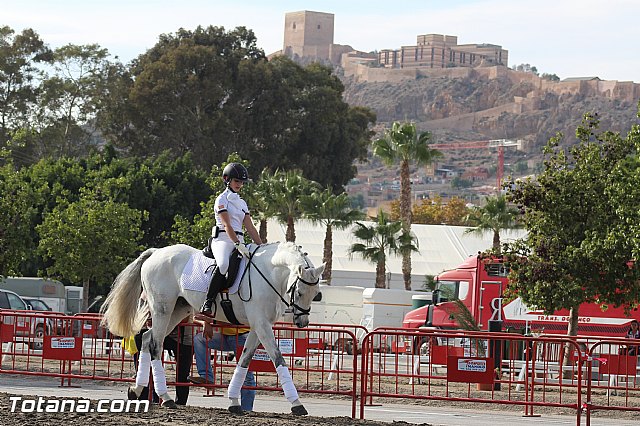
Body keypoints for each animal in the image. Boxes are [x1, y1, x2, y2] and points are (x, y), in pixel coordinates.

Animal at [100, 241, 324, 414]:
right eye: (300, 291)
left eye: (316, 294)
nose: (302, 323)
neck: (268, 274)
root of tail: (156, 252)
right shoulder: (261, 324)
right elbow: (278, 359)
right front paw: (297, 404)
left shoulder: (259, 325)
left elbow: (244, 359)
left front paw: (233, 401)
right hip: (162, 309)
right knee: (155, 344)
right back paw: (166, 398)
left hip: (178, 310)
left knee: (147, 339)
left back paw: (137, 390)